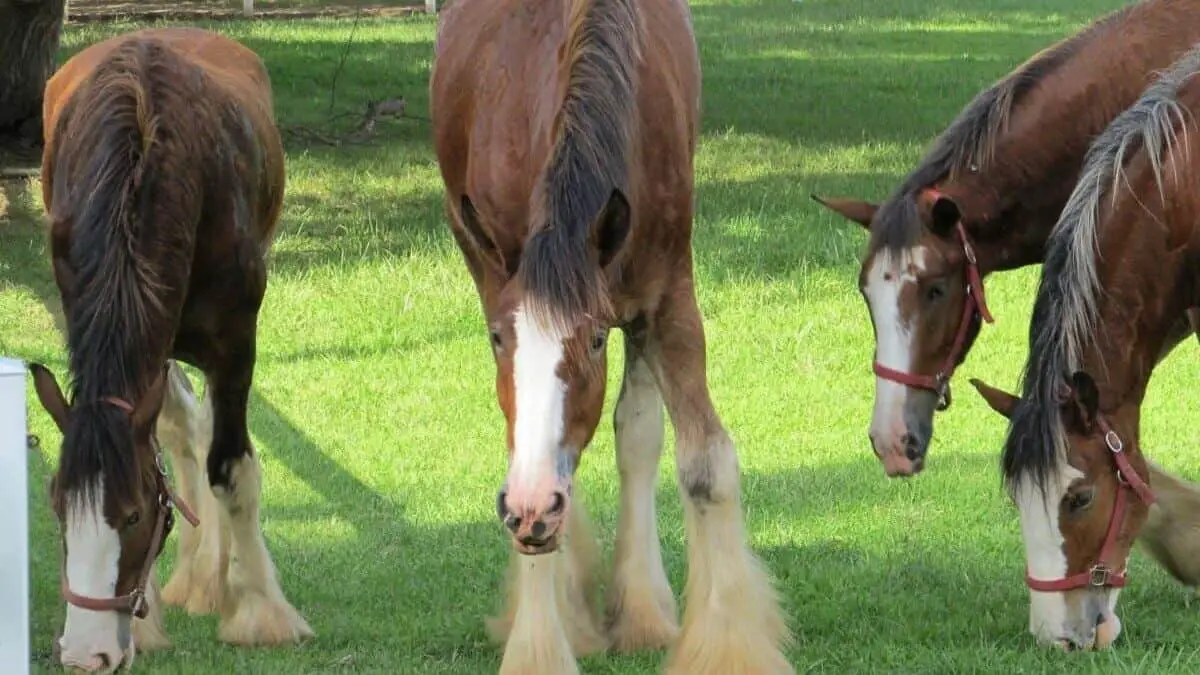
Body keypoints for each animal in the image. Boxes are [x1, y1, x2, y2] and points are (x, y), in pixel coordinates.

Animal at [29, 24, 314, 667]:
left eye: (133, 514)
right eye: (58, 506)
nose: (85, 655)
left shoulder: (234, 346)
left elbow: (230, 469)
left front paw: (260, 612)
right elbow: (166, 443)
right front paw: (148, 620)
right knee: (184, 430)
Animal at [434, 1, 796, 672]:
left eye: (596, 341)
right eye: (498, 339)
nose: (529, 504)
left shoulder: (666, 298)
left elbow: (703, 463)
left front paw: (725, 644)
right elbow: (539, 462)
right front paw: (539, 645)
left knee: (635, 436)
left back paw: (641, 610)